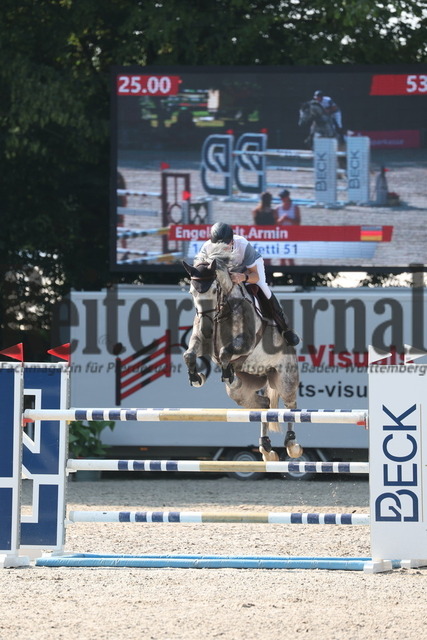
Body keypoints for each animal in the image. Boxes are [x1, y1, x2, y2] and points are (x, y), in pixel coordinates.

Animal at [182, 248, 302, 462]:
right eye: (192, 292)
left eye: (214, 290)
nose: (207, 329)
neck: (222, 310)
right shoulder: (201, 341)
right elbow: (189, 355)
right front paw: (197, 377)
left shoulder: (245, 344)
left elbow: (225, 352)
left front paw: (226, 373)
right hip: (244, 390)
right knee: (263, 405)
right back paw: (266, 448)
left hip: (285, 377)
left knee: (290, 406)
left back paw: (292, 444)